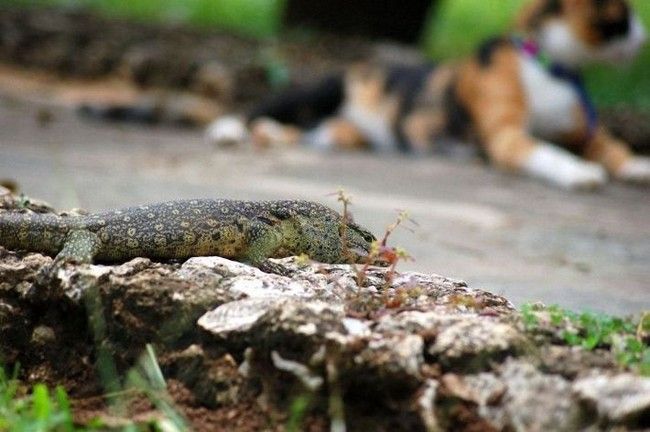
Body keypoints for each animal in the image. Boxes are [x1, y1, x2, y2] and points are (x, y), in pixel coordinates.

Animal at [209, 0, 648, 189]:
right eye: (622, 16)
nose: (642, 36)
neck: (547, 64)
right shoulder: (505, 135)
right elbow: (546, 151)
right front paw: (578, 171)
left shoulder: (581, 129)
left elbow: (610, 144)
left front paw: (636, 165)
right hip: (324, 89)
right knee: (261, 109)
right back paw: (229, 130)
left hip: (341, 130)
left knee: (309, 131)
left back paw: (271, 136)